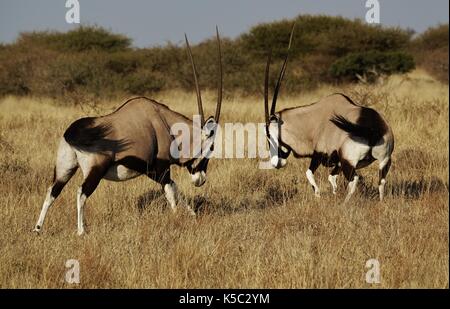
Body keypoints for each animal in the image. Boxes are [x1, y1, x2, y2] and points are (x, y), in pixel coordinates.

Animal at [33, 29, 223, 236]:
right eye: (211, 147)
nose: (200, 180)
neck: (166, 124)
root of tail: (73, 133)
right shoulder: (160, 167)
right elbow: (170, 192)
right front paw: (177, 218)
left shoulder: (150, 170)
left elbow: (174, 187)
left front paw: (192, 214)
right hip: (95, 170)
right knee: (81, 192)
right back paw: (81, 231)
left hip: (65, 167)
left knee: (52, 191)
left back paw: (37, 229)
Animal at [264, 25, 394, 201]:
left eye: (269, 134)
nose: (275, 163)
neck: (313, 121)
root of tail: (373, 129)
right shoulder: (336, 162)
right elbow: (331, 177)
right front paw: (333, 192)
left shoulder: (319, 154)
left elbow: (309, 173)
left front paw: (318, 194)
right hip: (384, 161)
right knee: (381, 181)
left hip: (349, 162)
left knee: (354, 180)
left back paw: (345, 204)